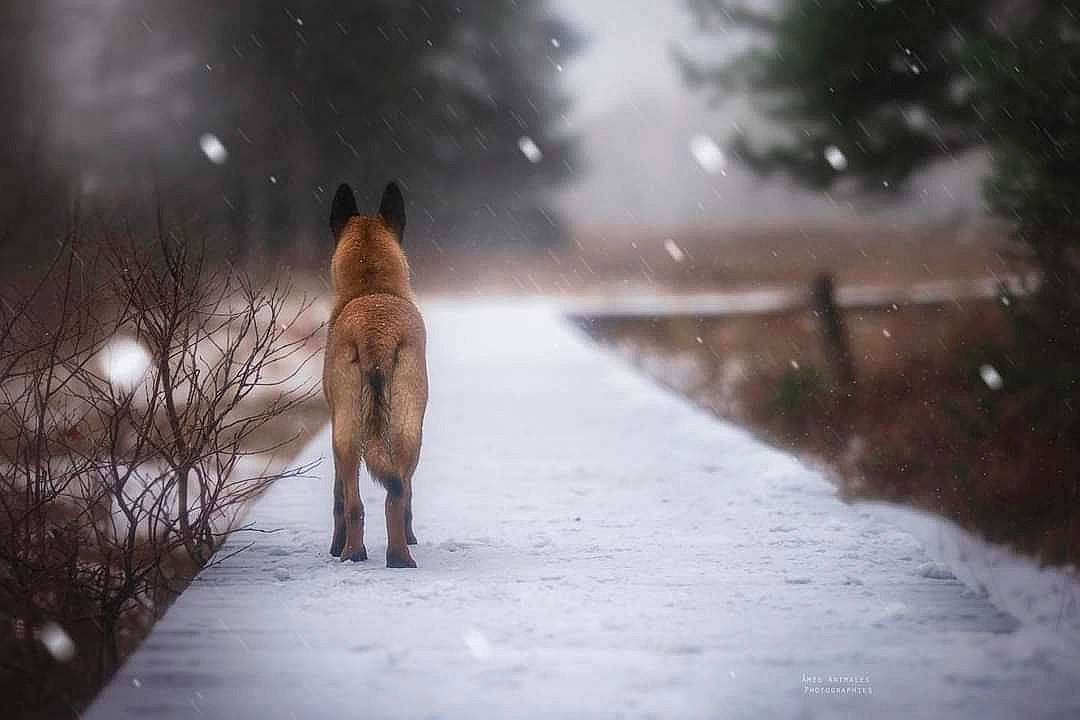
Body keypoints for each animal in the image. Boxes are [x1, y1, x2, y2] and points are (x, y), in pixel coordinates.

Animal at [323, 181, 428, 568]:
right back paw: (396, 555)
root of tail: (376, 331)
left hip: (349, 431)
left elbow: (337, 497)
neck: (372, 288)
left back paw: (354, 552)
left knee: (358, 501)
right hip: (406, 431)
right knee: (395, 494)